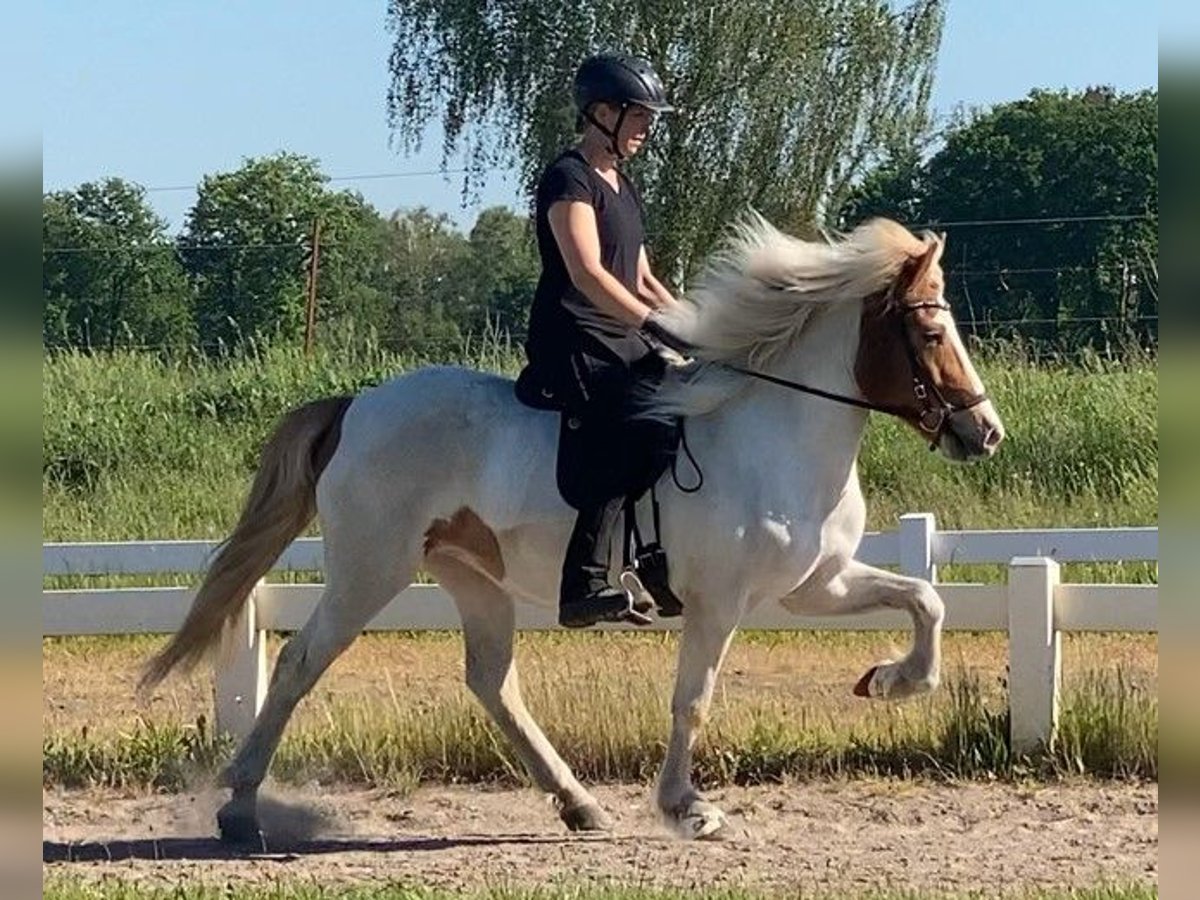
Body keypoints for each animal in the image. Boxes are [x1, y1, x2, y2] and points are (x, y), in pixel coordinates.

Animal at [138, 217, 1003, 844]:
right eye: (930, 334)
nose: (984, 433)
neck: (776, 432)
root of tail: (358, 404)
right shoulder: (721, 601)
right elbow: (693, 700)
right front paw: (688, 807)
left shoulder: (815, 585)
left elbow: (925, 598)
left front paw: (893, 682)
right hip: (369, 569)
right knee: (299, 664)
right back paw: (238, 811)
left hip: (469, 574)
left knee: (492, 682)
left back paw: (579, 805)